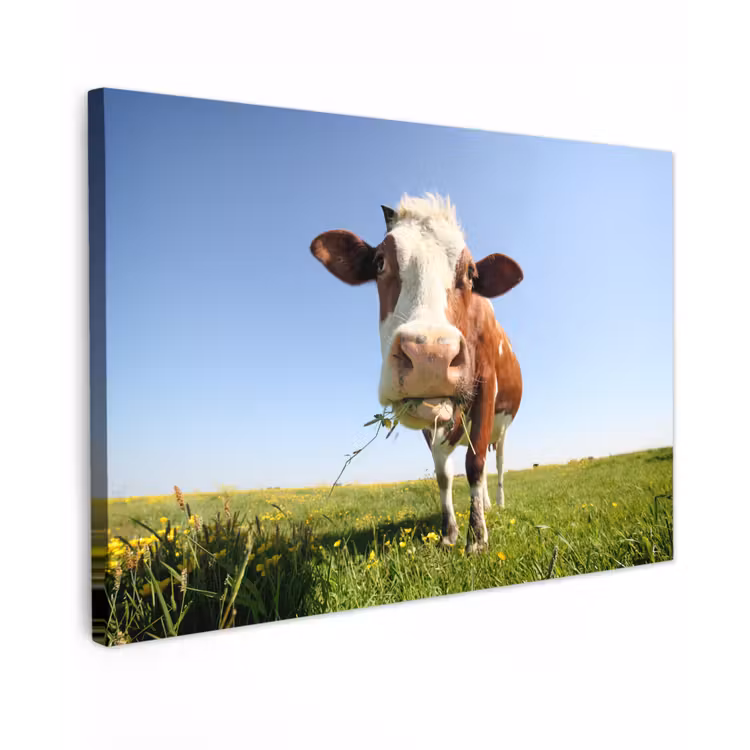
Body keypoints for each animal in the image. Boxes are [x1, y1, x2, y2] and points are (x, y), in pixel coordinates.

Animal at [310, 194, 523, 553]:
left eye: (471, 273)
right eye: (379, 262)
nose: (430, 356)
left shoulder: (486, 388)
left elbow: (475, 465)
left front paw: (477, 538)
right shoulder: (426, 414)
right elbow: (443, 473)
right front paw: (450, 533)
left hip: (504, 429)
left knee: (498, 465)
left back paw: (498, 504)